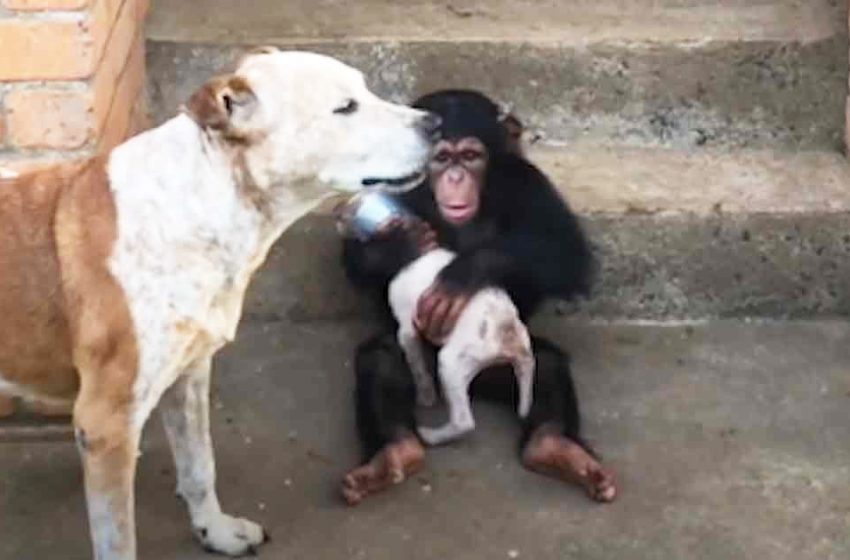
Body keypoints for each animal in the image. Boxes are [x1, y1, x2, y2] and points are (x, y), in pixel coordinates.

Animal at [0, 49, 438, 560]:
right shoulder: (106, 424)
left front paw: (217, 531)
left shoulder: (189, 375)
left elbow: (199, 465)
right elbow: (119, 539)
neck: (197, 205)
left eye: (365, 90)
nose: (437, 123)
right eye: (345, 107)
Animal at [388, 249, 532, 446]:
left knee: (464, 423)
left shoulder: (407, 332)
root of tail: (506, 328)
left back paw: (430, 435)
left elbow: (418, 369)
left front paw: (426, 395)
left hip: (450, 364)